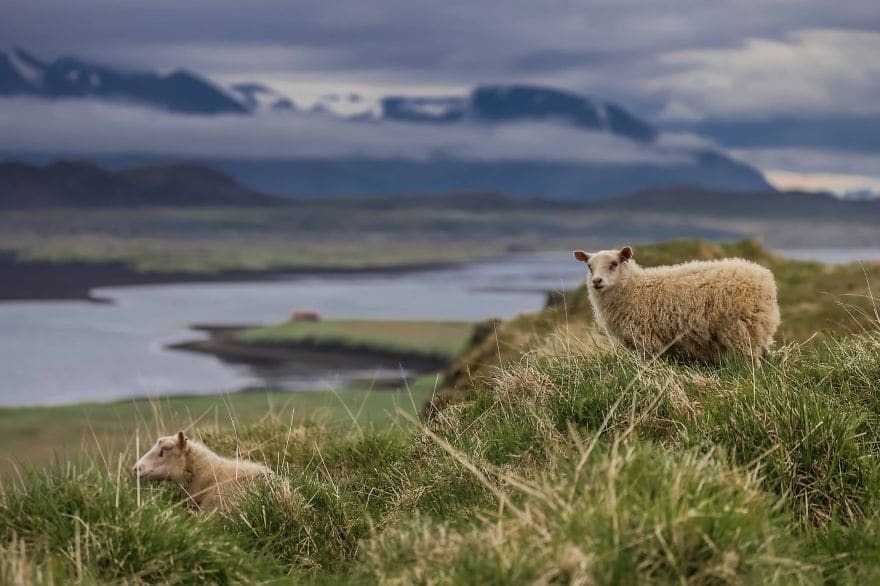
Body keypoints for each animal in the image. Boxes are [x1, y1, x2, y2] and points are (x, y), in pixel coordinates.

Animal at [576, 245, 780, 362]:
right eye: (589, 266)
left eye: (614, 264)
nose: (596, 281)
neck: (635, 287)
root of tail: (764, 278)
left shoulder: (647, 340)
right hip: (757, 328)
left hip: (742, 329)